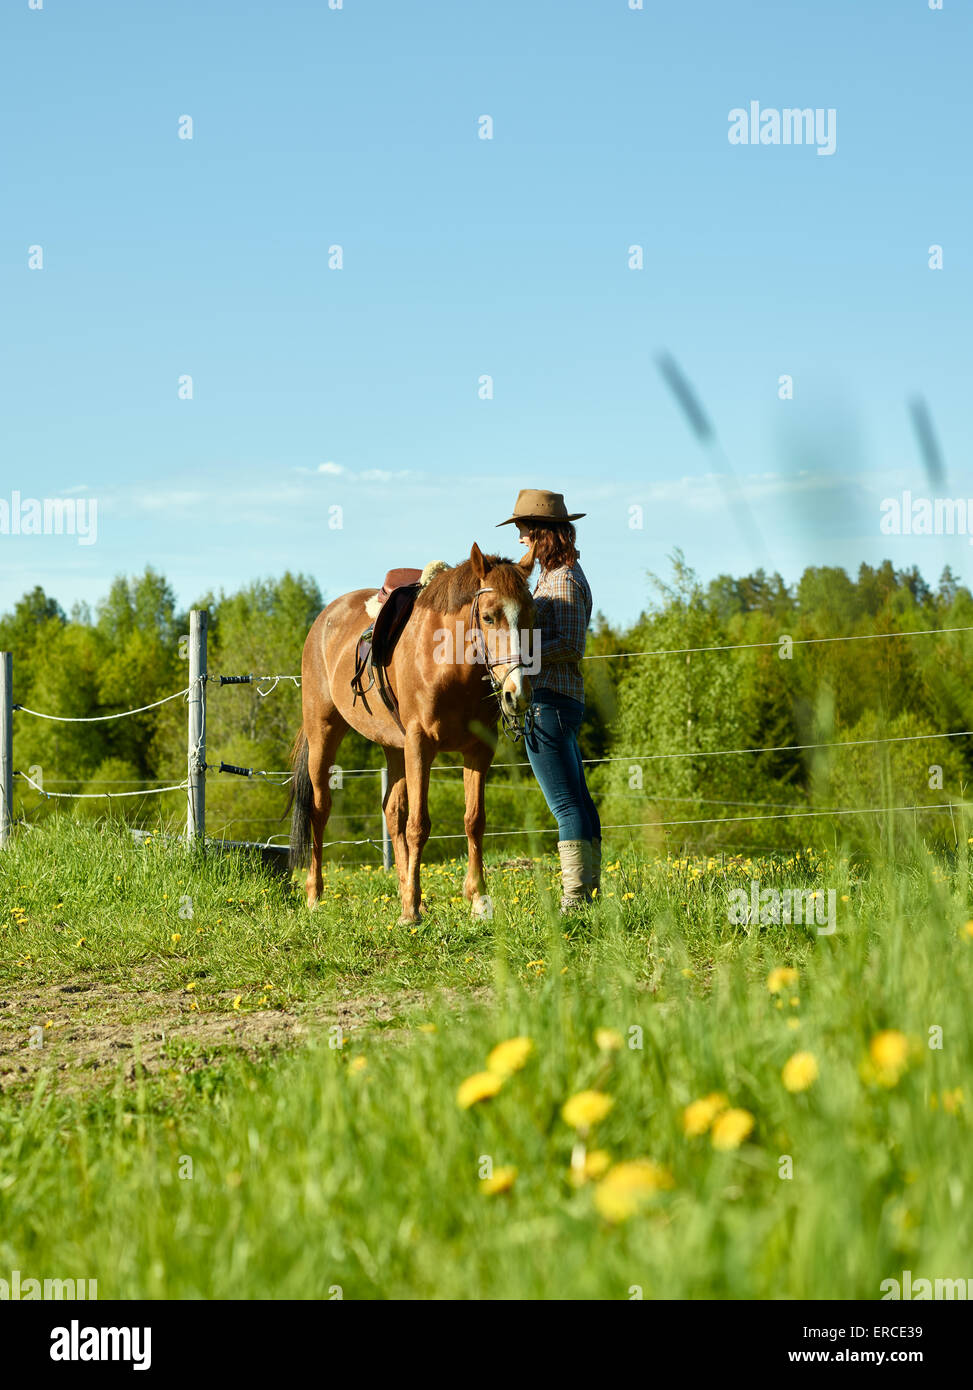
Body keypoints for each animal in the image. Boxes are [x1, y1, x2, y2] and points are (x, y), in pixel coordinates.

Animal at [289, 542, 539, 922]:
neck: (450, 664)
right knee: (320, 809)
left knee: (393, 812)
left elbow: (474, 820)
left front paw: (477, 900)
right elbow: (419, 825)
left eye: (529, 616)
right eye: (488, 617)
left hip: (394, 747)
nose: (517, 694)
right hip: (324, 732)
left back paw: (409, 892)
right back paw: (315, 896)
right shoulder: (421, 745)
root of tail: (324, 619)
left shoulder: (478, 750)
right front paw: (410, 913)